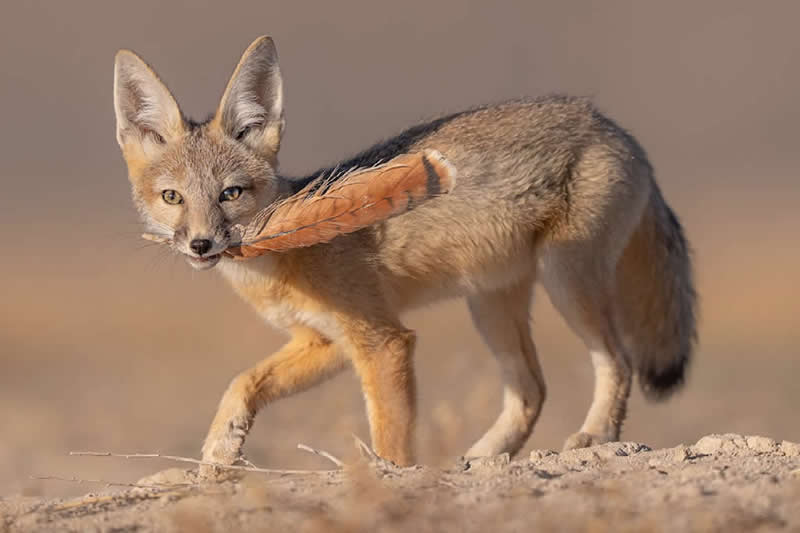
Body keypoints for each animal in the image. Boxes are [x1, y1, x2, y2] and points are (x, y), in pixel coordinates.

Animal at [113, 36, 697, 474]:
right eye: (172, 198)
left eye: (230, 194)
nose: (201, 245)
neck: (278, 260)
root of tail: (609, 124)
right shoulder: (326, 341)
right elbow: (244, 381)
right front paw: (222, 448)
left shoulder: (382, 340)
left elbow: (390, 438)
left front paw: (392, 479)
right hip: (491, 304)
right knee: (532, 389)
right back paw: (483, 458)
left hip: (566, 281)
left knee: (617, 361)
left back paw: (596, 435)